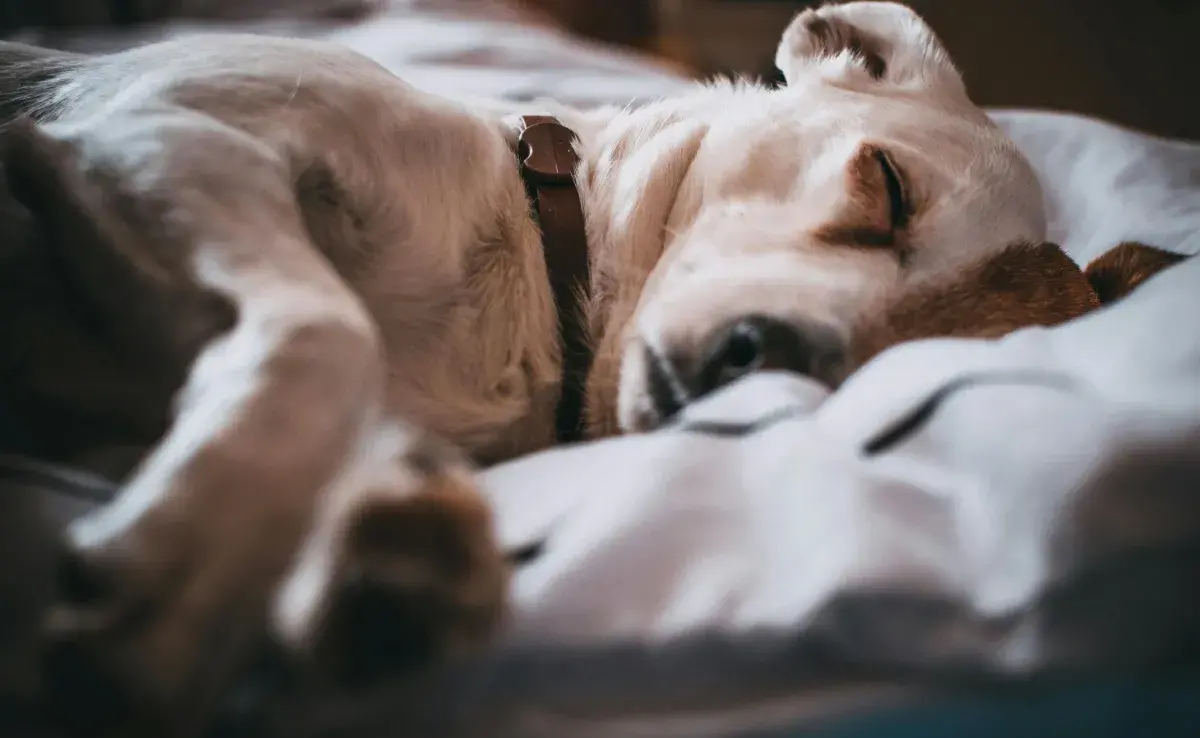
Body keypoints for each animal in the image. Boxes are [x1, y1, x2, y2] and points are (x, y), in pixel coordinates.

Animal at [0, 2, 1185, 734]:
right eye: (886, 188)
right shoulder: (157, 136)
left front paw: (383, 558)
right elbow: (327, 333)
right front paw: (186, 585)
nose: (762, 359)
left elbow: (355, 407)